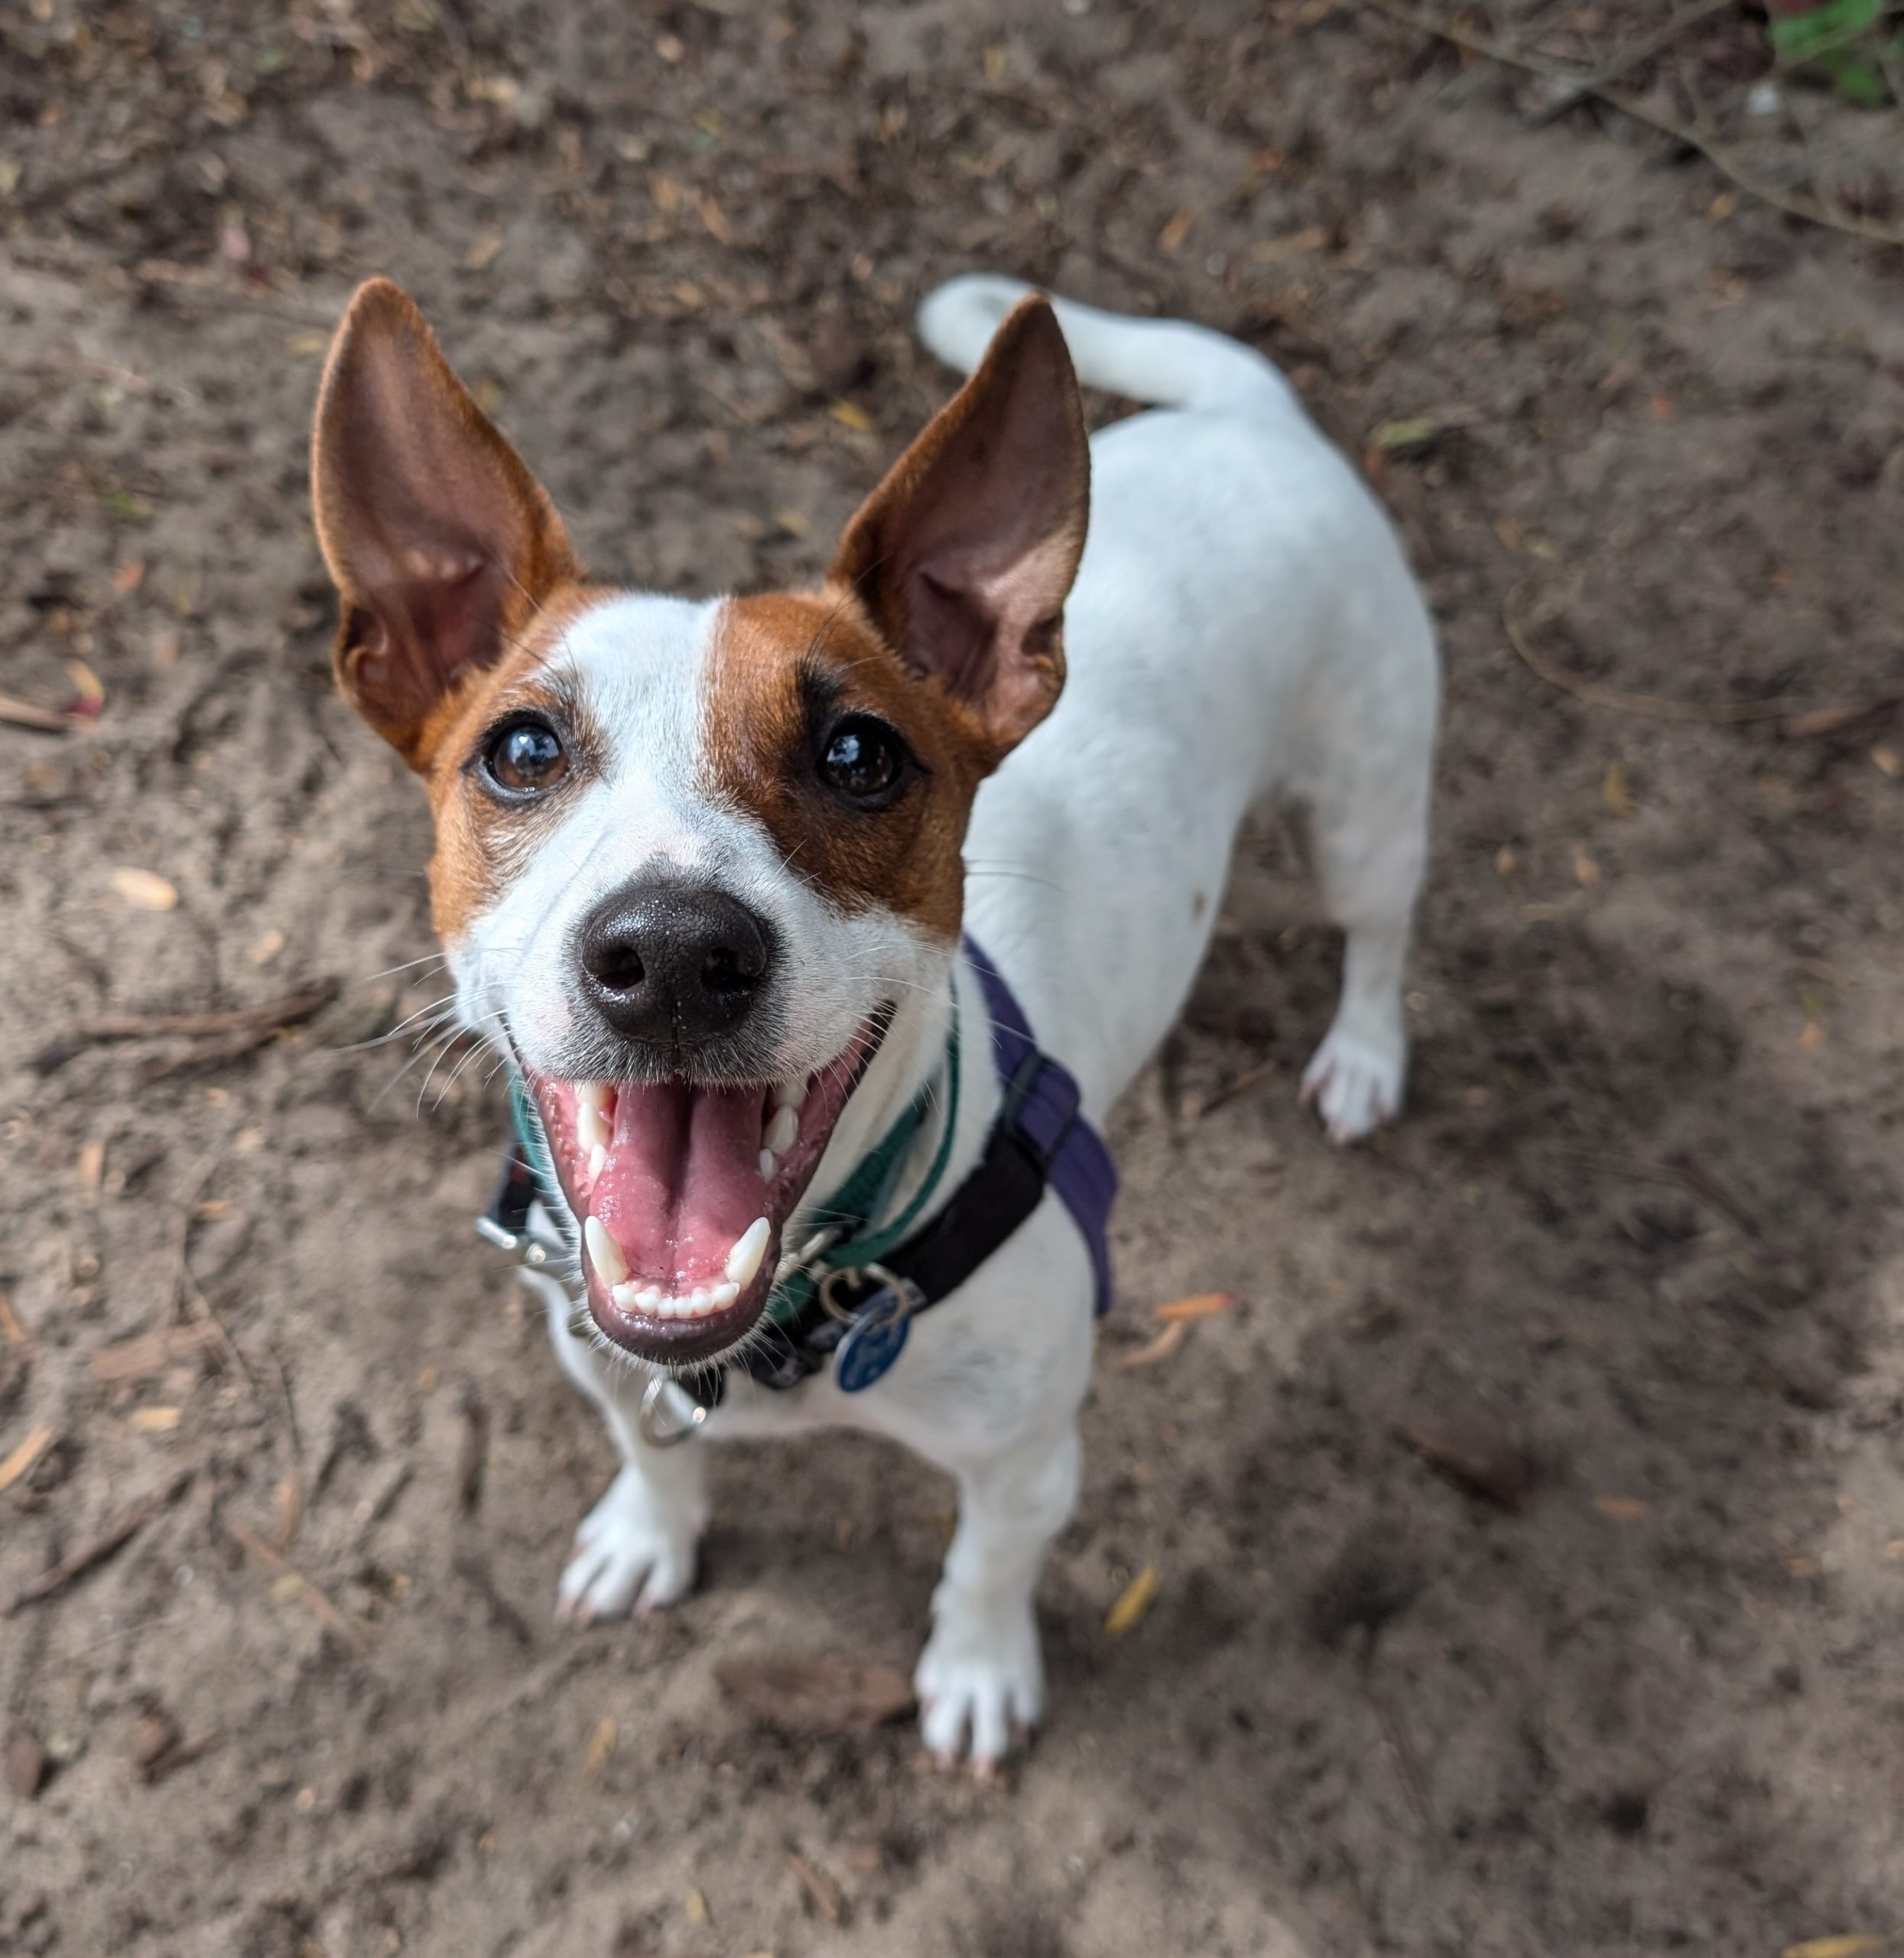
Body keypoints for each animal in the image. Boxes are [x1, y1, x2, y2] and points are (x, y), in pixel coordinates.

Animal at [310, 272, 1432, 1762]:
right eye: (522, 751)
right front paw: (646, 1534)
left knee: (1378, 932)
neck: (800, 1305)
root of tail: (1252, 417)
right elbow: (647, 1454)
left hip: (1363, 809)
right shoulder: (601, 1358)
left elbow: (985, 1567)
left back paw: (1363, 1055)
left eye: (859, 755)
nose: (673, 953)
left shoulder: (1028, 1458)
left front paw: (975, 1670)